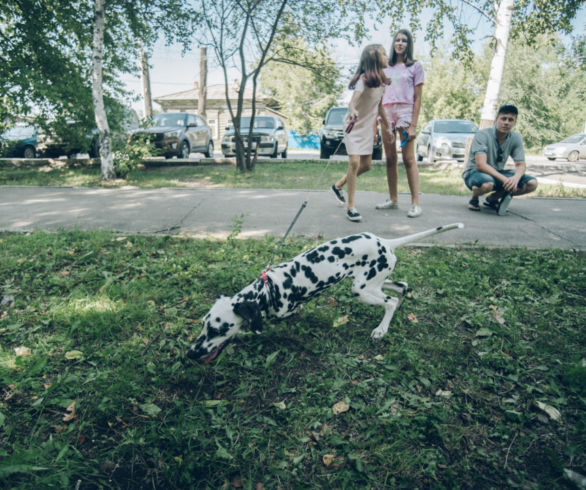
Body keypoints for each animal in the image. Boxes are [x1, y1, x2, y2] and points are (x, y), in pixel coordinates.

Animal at [187, 223, 460, 364]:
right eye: (203, 325)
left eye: (217, 330)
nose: (190, 353)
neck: (269, 289)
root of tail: (386, 241)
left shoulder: (287, 313)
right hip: (374, 282)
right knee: (401, 287)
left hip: (361, 290)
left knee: (390, 302)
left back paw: (381, 329)